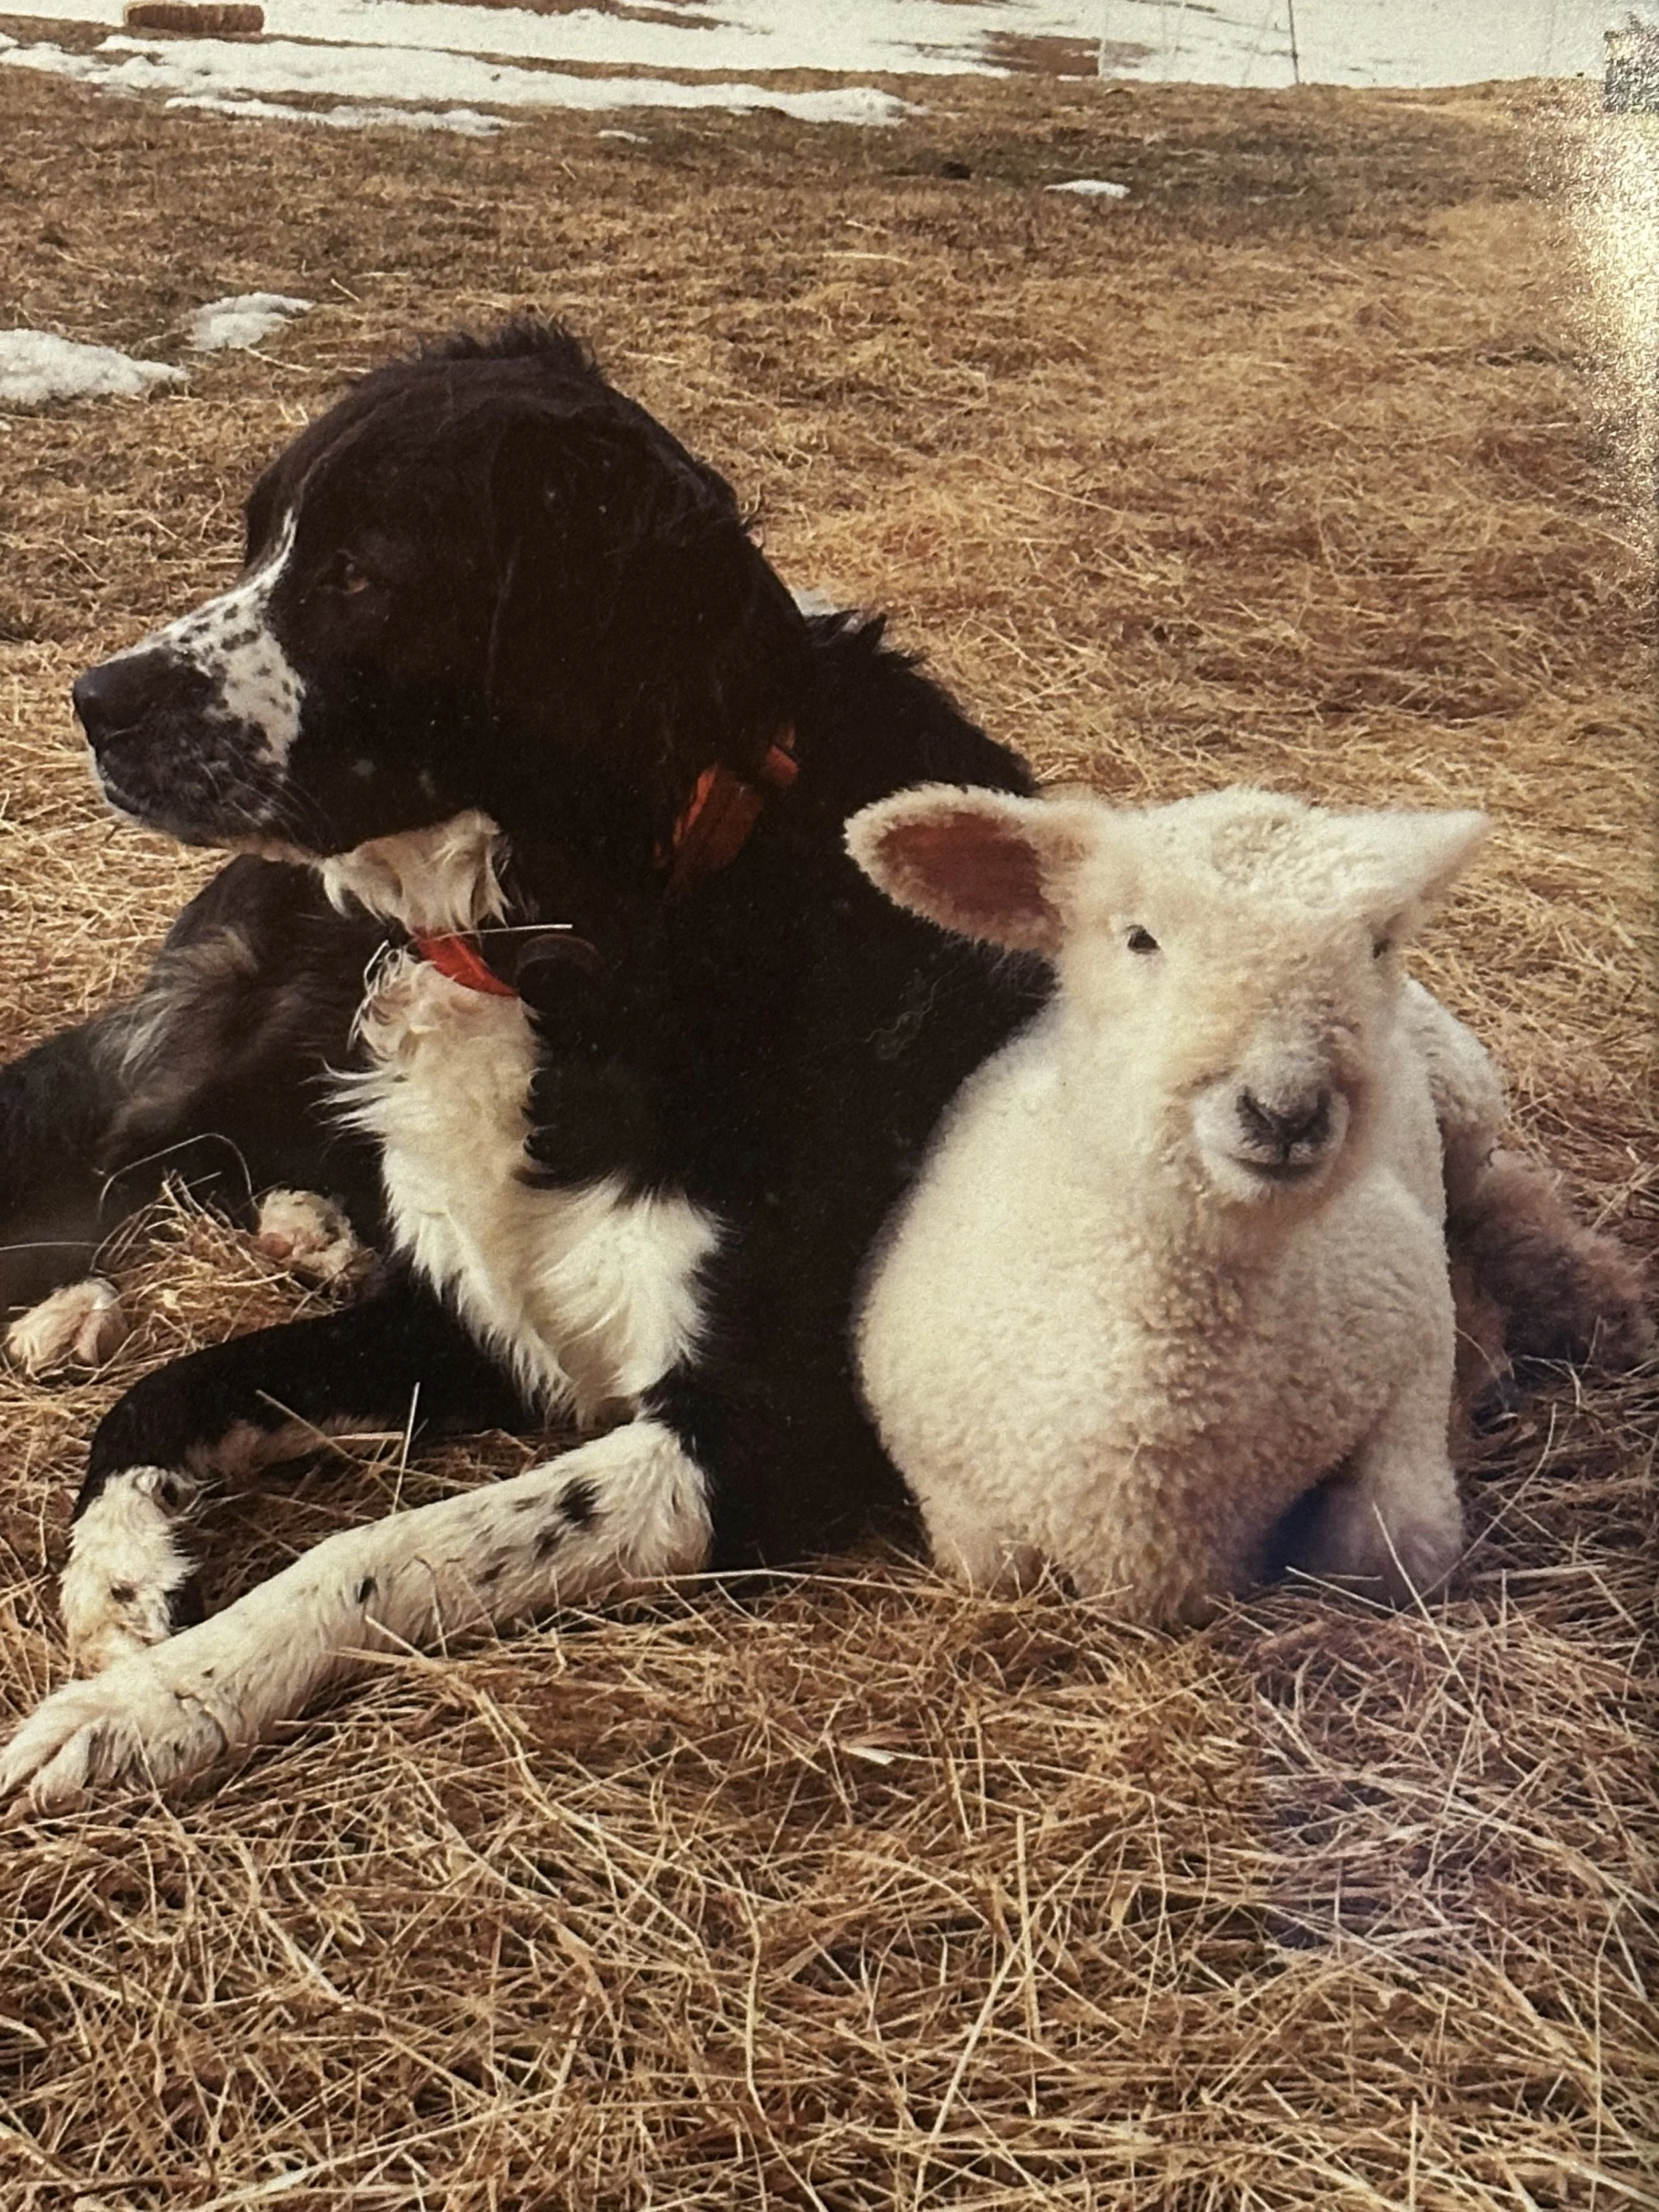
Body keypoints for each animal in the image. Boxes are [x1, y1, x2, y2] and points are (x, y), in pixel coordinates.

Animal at [845, 782, 1503, 1624]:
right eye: (1139, 939)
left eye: (1378, 945)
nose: (1284, 1111)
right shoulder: (945, 1476)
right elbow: (993, 1564)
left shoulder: (1412, 1319)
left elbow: (1391, 1549)